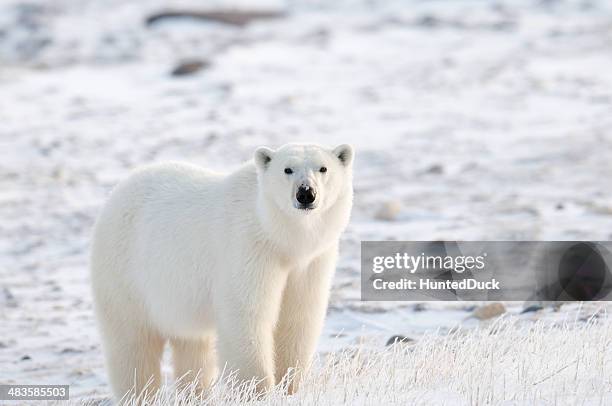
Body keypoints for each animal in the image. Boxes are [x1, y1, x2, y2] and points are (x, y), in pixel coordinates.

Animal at [89, 142, 354, 400]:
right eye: (287, 169)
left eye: (323, 168)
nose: (306, 193)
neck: (280, 238)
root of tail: (116, 192)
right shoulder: (249, 249)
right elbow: (247, 315)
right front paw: (257, 392)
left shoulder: (310, 262)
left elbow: (298, 318)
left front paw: (289, 387)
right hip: (125, 275)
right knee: (133, 345)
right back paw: (139, 394)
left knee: (192, 346)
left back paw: (196, 394)